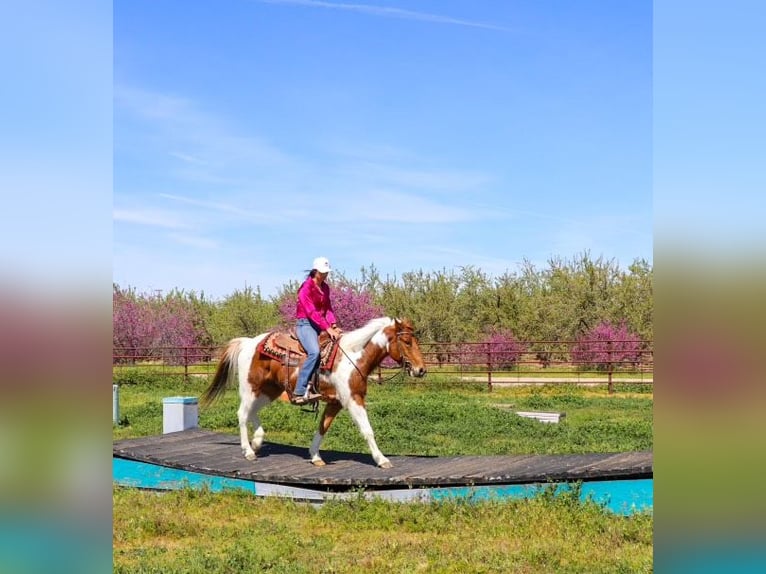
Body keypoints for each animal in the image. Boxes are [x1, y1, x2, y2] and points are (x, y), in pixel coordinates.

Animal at [200, 318, 426, 470]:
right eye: (407, 341)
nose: (421, 370)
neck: (353, 357)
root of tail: (248, 343)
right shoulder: (353, 400)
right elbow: (367, 430)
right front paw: (382, 459)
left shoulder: (335, 402)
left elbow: (323, 427)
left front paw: (315, 456)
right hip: (251, 388)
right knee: (242, 414)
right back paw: (248, 451)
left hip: (269, 390)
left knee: (252, 412)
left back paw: (256, 442)